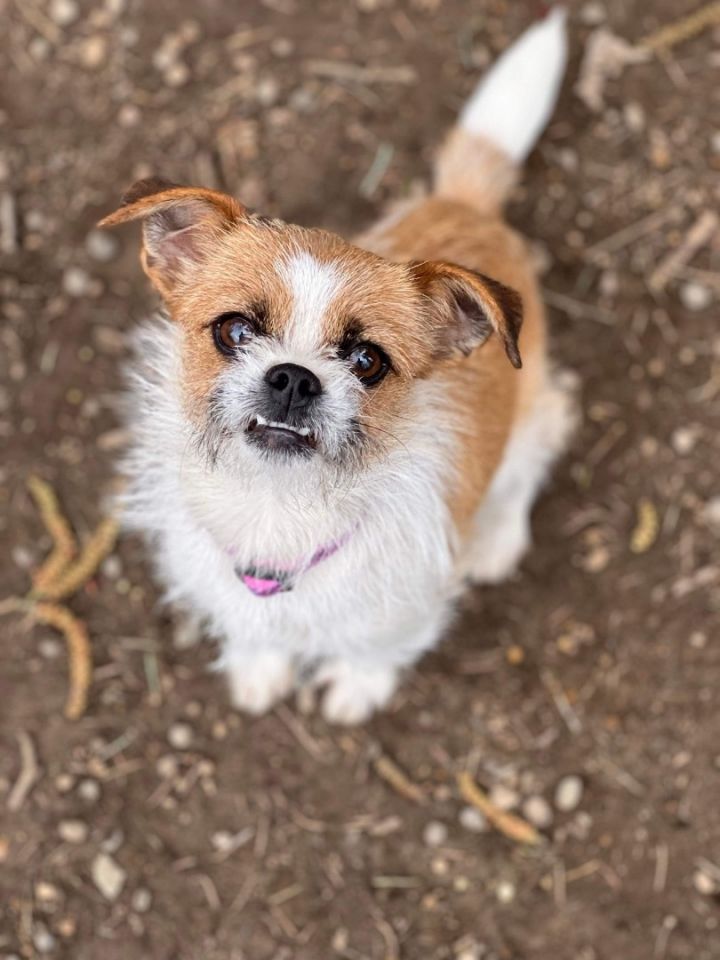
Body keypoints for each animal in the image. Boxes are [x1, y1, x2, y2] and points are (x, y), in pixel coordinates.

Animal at [100, 11, 572, 724]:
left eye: (367, 360)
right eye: (234, 330)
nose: (294, 377)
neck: (277, 508)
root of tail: (466, 207)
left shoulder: (404, 612)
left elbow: (375, 651)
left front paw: (357, 688)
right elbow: (251, 632)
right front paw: (258, 669)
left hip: (535, 414)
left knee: (531, 460)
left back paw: (496, 539)